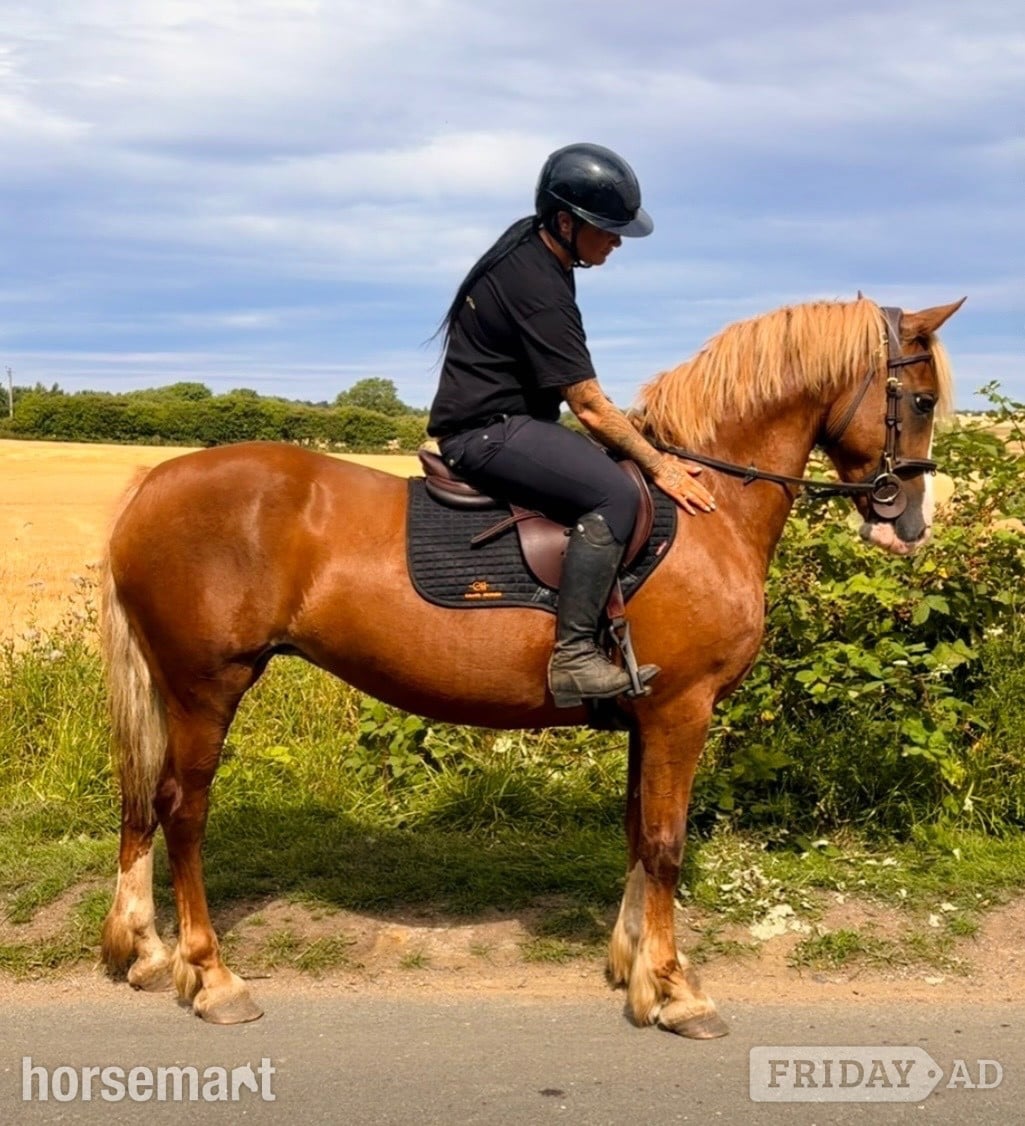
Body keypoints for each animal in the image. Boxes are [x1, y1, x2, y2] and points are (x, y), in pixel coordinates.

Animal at [99, 295, 963, 1035]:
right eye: (919, 400)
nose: (909, 527)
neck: (703, 506)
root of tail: (154, 480)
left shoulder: (647, 716)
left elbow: (636, 834)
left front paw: (633, 968)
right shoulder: (682, 709)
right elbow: (665, 843)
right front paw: (675, 989)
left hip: (178, 689)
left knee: (143, 803)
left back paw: (143, 949)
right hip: (208, 685)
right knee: (181, 810)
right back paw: (211, 976)